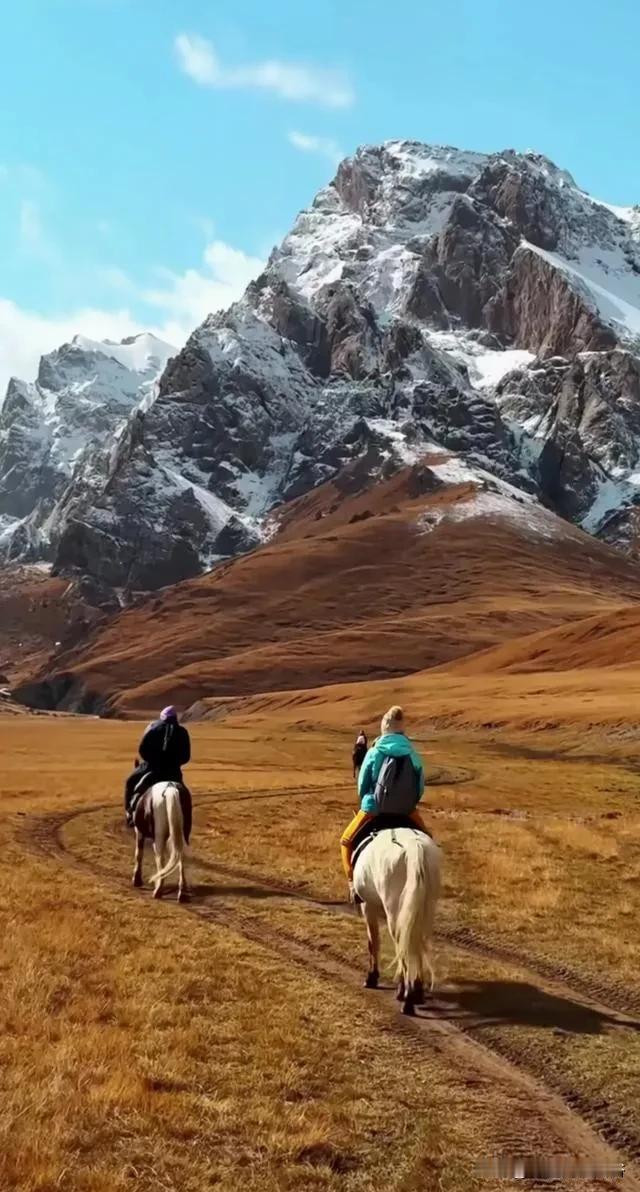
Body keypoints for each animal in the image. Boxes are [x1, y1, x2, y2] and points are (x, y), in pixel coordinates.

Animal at [352, 829, 440, 1015]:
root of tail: (415, 847)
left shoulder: (367, 906)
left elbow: (373, 942)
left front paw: (372, 977)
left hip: (395, 911)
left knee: (403, 947)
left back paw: (407, 999)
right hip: (424, 909)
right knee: (416, 943)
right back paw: (416, 992)